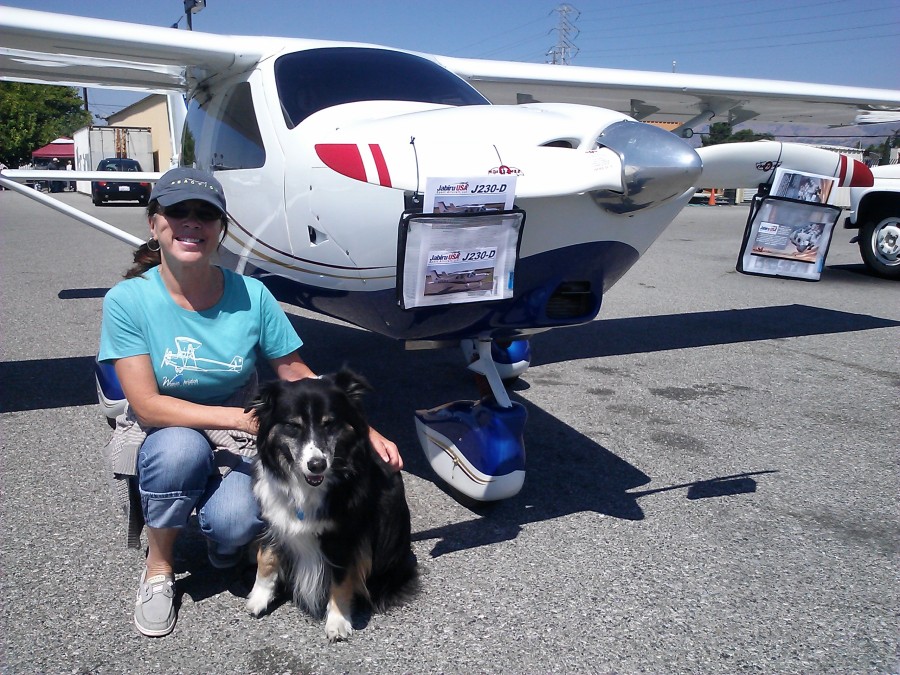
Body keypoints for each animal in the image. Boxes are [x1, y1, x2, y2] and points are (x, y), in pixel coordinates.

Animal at [244, 372, 416, 640]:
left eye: (329, 424)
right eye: (293, 426)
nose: (317, 465)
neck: (306, 486)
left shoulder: (344, 537)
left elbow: (341, 580)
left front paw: (338, 622)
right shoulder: (274, 518)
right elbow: (267, 556)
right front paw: (259, 597)